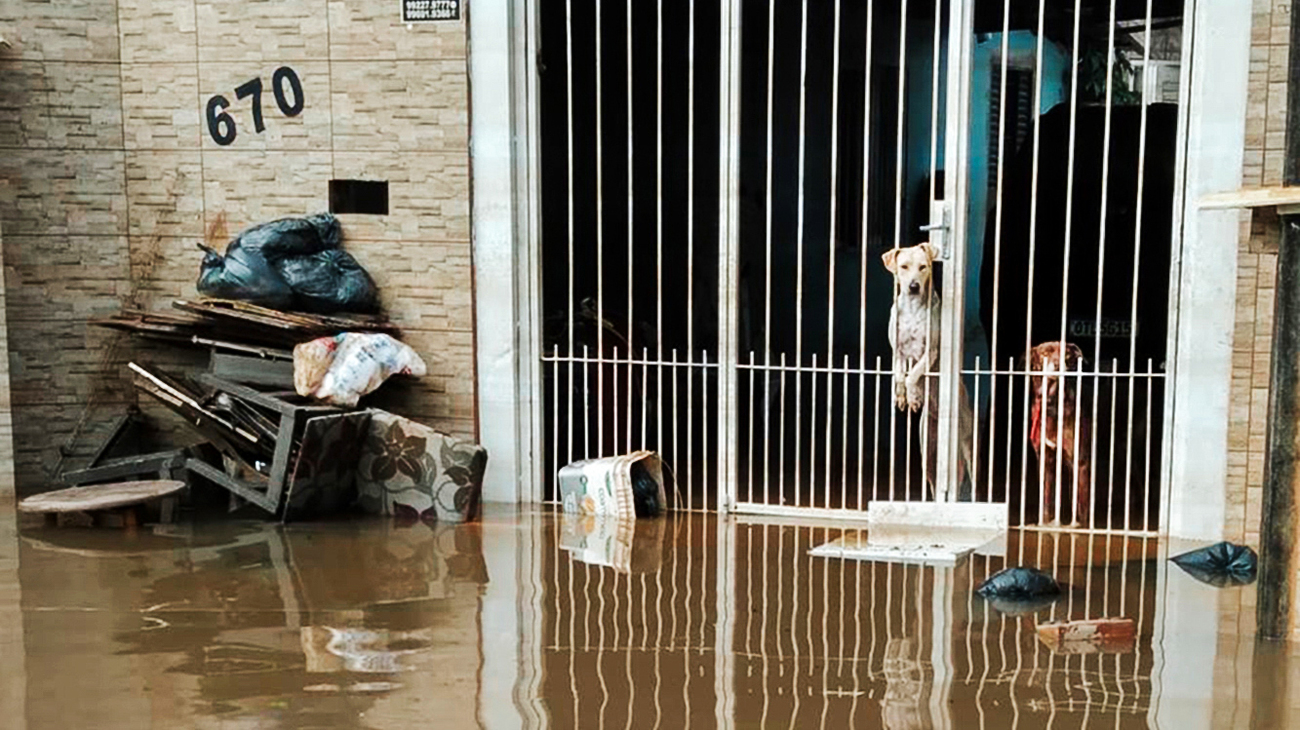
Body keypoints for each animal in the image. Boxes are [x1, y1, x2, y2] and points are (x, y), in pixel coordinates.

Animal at [883, 241, 977, 496]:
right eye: (904, 267)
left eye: (923, 267)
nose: (913, 286)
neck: (913, 308)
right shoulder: (897, 351)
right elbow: (899, 376)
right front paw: (901, 397)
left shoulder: (931, 351)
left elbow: (913, 375)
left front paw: (913, 395)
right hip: (928, 452)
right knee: (935, 485)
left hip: (967, 444)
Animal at [1029, 340, 1092, 522]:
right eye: (1044, 353)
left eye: (1067, 354)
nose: (1057, 365)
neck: (1052, 404)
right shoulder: (1045, 460)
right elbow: (1046, 502)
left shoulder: (1081, 462)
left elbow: (1083, 509)